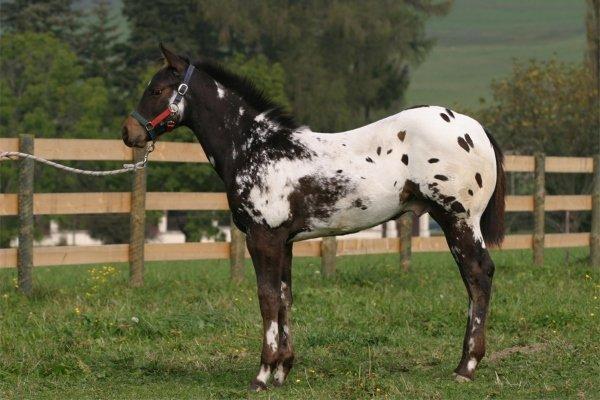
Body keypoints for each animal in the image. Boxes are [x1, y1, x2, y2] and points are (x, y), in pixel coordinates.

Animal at [122, 44, 506, 390]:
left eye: (156, 90)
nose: (129, 133)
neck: (256, 148)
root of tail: (476, 129)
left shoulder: (262, 237)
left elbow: (267, 298)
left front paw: (262, 375)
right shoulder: (284, 242)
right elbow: (284, 297)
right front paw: (282, 371)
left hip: (458, 220)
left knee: (478, 275)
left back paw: (466, 367)